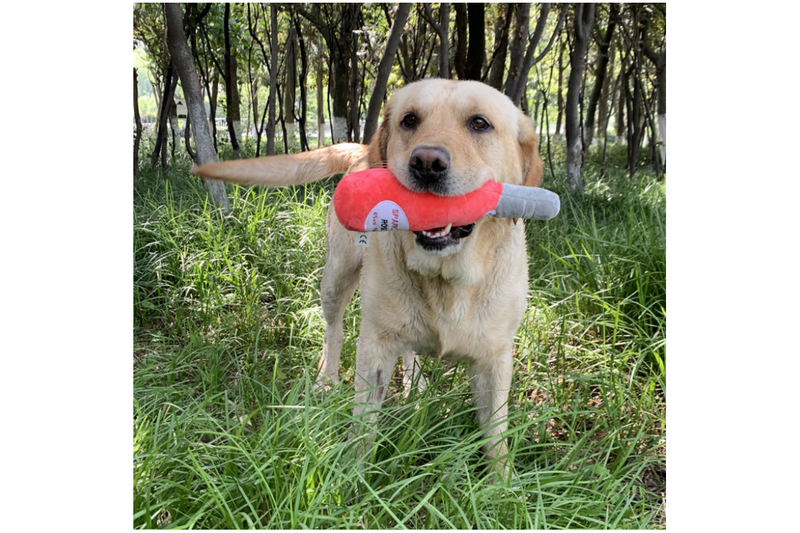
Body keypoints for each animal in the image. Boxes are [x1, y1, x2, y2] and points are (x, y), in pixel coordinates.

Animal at [194, 78, 544, 474]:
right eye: (410, 120)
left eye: (480, 123)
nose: (426, 163)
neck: (445, 280)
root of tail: (364, 150)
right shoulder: (375, 345)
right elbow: (363, 425)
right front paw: (351, 475)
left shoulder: (495, 360)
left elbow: (496, 433)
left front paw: (502, 483)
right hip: (336, 277)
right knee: (334, 332)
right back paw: (327, 381)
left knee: (408, 347)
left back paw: (414, 384)